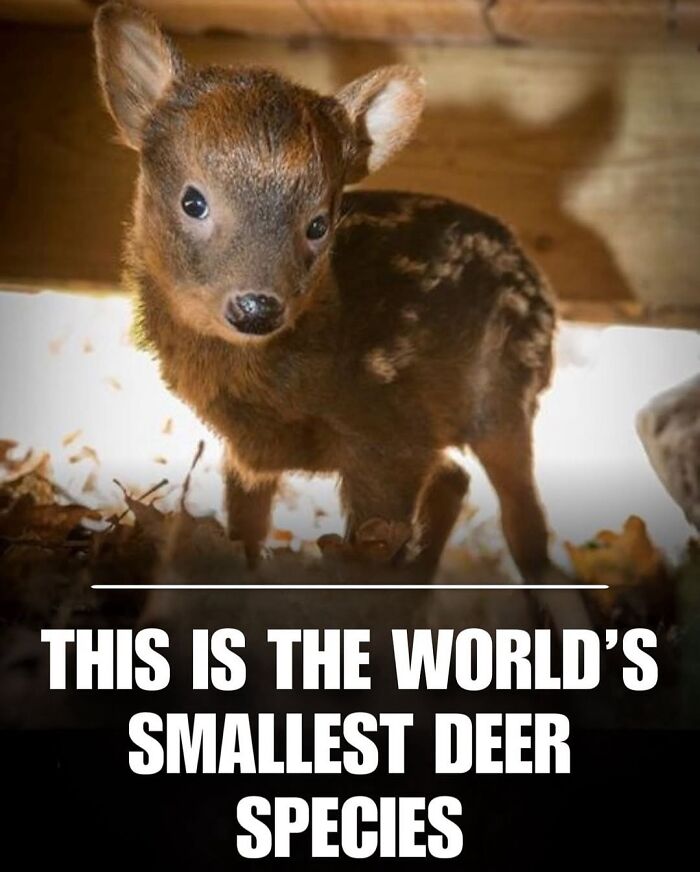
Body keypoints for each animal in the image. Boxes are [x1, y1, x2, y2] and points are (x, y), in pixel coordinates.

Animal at [93, 2, 564, 594]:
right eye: (193, 200)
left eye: (318, 224)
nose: (257, 307)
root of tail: (539, 282)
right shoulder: (249, 451)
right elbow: (246, 526)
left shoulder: (388, 434)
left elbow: (370, 548)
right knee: (457, 480)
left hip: (507, 391)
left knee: (523, 525)